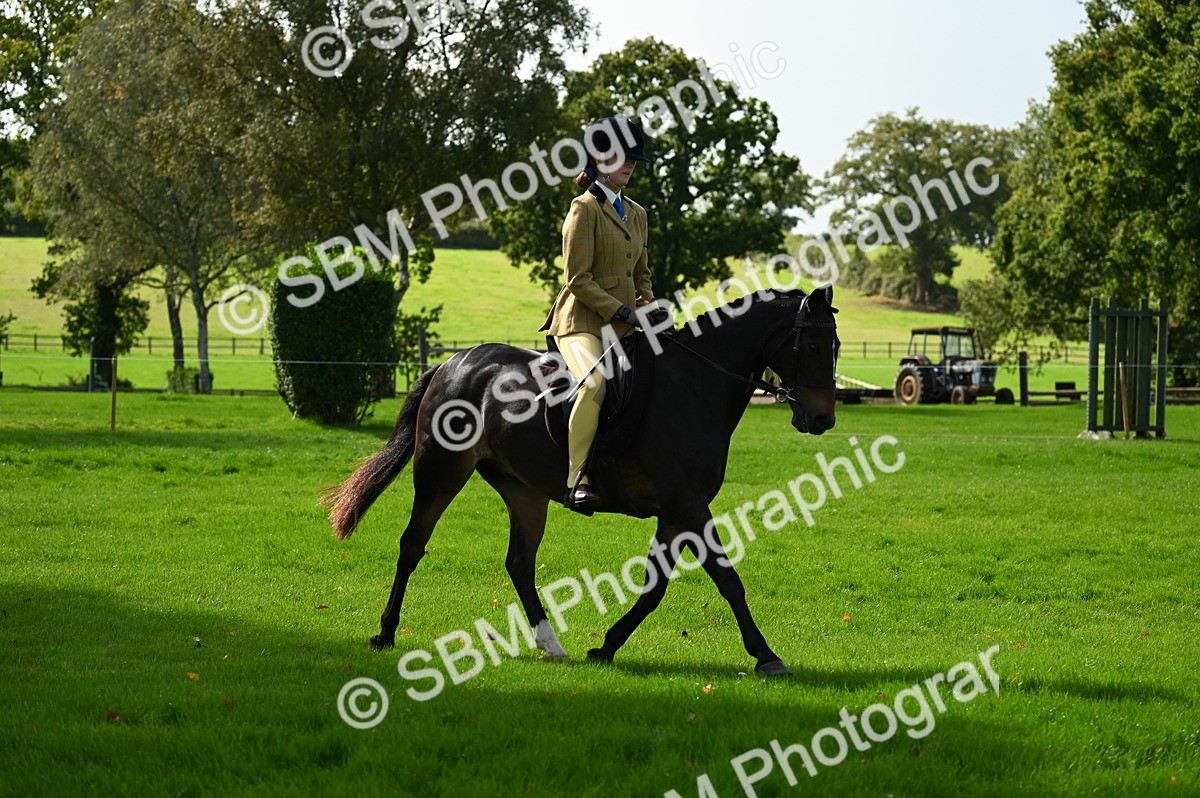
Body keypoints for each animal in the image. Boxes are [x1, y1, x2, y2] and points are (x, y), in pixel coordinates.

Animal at [324, 286, 840, 676]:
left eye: (834, 348)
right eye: (815, 347)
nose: (822, 419)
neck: (694, 385)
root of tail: (454, 363)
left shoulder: (677, 510)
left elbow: (655, 587)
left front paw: (606, 646)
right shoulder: (689, 505)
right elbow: (727, 578)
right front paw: (766, 656)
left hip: (524, 491)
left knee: (519, 563)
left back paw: (550, 643)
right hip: (441, 471)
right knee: (413, 545)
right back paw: (386, 633)